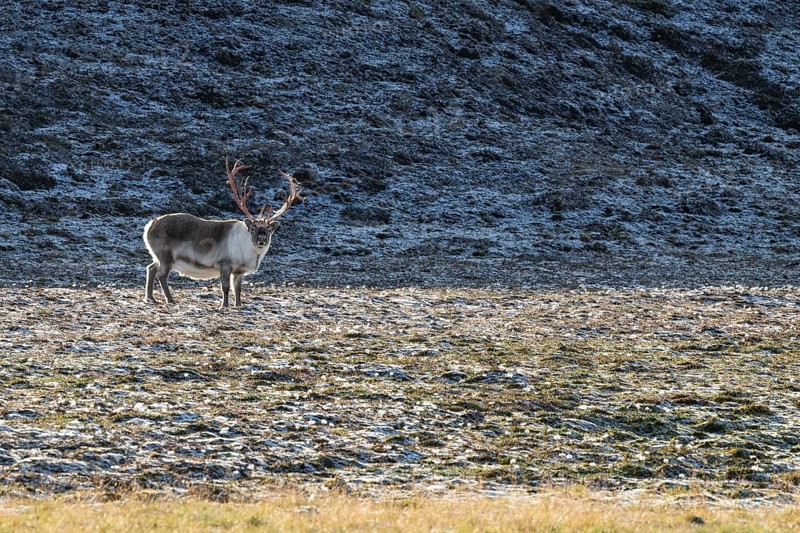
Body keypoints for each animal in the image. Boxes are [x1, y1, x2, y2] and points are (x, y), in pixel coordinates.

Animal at [143, 158, 302, 308]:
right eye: (253, 228)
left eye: (269, 229)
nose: (261, 239)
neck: (250, 254)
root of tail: (149, 226)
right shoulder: (224, 264)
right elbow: (225, 287)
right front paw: (224, 305)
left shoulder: (238, 272)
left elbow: (237, 289)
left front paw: (238, 305)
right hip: (165, 255)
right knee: (161, 275)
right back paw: (170, 299)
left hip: (157, 256)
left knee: (151, 268)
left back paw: (150, 298)